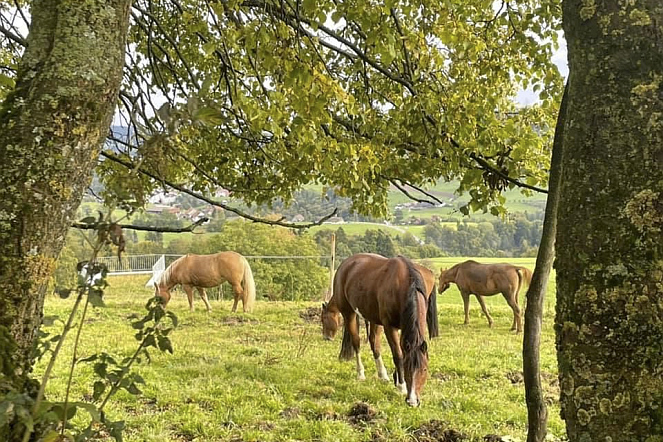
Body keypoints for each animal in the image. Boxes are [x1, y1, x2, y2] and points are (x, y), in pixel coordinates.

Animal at [322, 252, 440, 408]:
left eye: (424, 369)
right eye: (407, 368)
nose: (413, 401)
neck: (405, 284)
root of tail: (345, 264)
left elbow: (400, 350)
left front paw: (396, 379)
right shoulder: (389, 327)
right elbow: (398, 355)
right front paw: (401, 386)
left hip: (373, 318)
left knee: (374, 344)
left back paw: (382, 375)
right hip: (349, 313)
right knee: (356, 342)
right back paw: (361, 373)